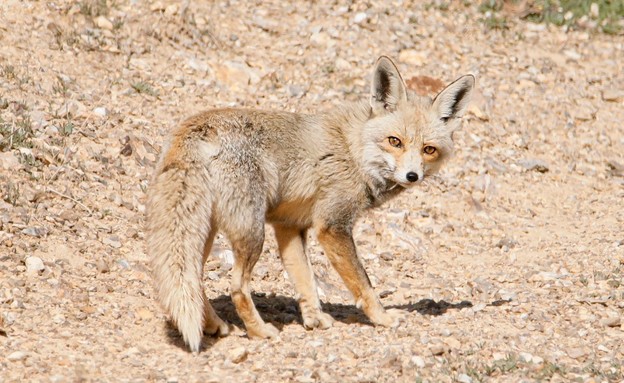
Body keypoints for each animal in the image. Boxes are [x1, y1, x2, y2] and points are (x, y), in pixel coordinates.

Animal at [146, 55, 476, 352]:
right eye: (395, 141)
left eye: (429, 149)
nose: (412, 176)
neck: (354, 151)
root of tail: (195, 127)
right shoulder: (332, 226)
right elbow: (363, 284)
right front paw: (383, 319)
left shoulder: (289, 226)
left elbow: (306, 281)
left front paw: (315, 320)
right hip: (252, 232)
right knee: (237, 287)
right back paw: (259, 331)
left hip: (208, 230)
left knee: (194, 280)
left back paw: (214, 324)